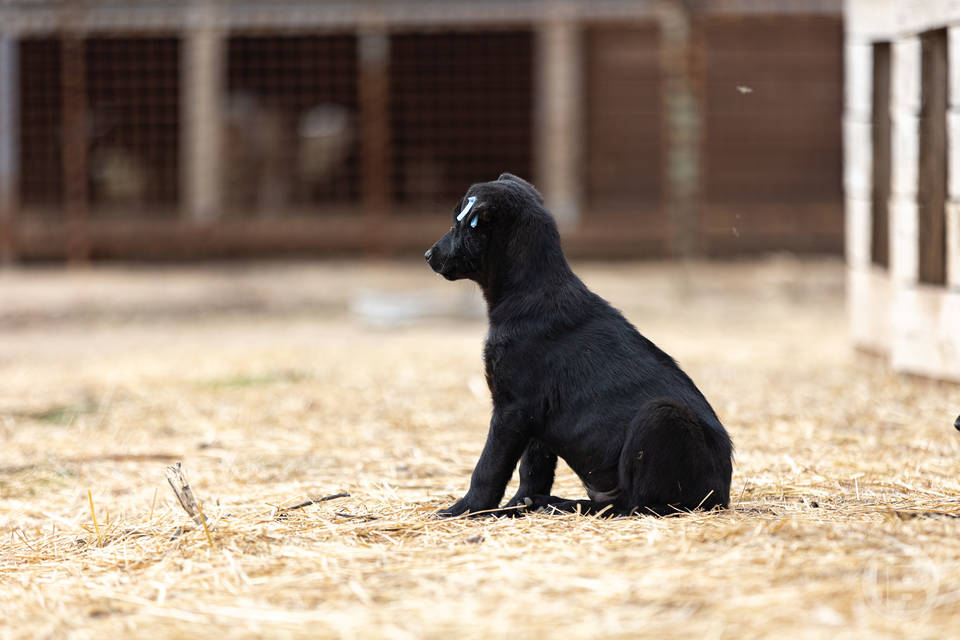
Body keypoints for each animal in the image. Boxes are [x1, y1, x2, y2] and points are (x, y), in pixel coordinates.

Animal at [424, 174, 732, 516]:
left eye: (457, 224)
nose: (428, 255)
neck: (529, 291)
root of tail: (722, 494)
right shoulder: (536, 416)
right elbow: (533, 467)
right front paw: (521, 502)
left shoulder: (512, 408)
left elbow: (489, 467)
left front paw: (466, 509)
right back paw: (547, 503)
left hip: (661, 416)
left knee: (633, 505)